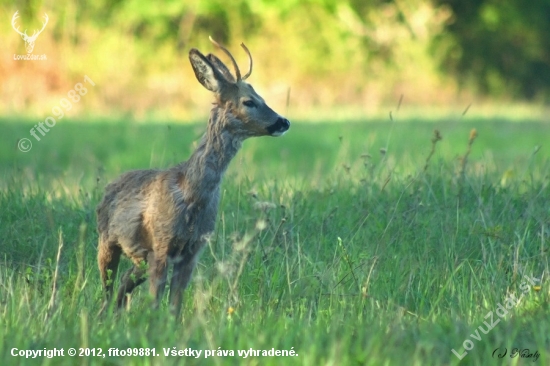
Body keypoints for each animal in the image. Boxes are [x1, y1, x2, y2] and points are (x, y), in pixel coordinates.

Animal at [97, 36, 292, 318]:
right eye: (249, 101)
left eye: (262, 97)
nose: (283, 122)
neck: (190, 193)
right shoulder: (161, 244)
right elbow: (156, 302)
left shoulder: (192, 250)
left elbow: (175, 305)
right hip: (107, 241)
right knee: (108, 288)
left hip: (139, 258)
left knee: (122, 287)